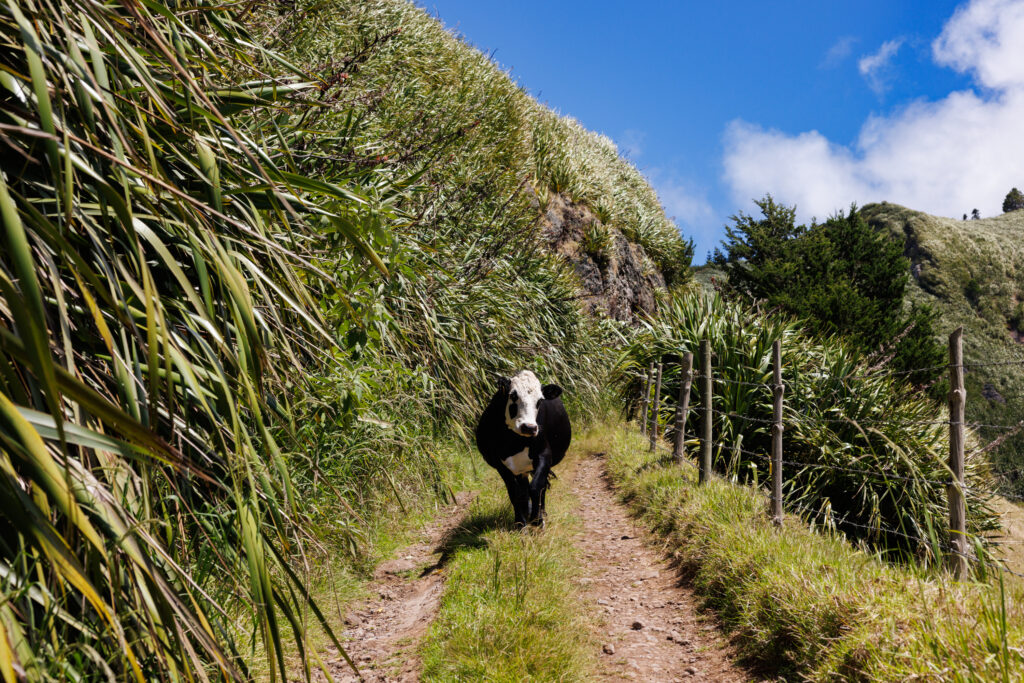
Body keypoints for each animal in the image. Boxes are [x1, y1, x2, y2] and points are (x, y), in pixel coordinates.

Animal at [475, 370, 571, 528]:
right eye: (513, 396)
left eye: (540, 401)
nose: (529, 427)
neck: (515, 443)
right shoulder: (499, 463)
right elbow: (515, 493)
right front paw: (520, 523)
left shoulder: (544, 454)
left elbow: (536, 487)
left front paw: (537, 519)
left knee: (541, 486)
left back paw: (540, 512)